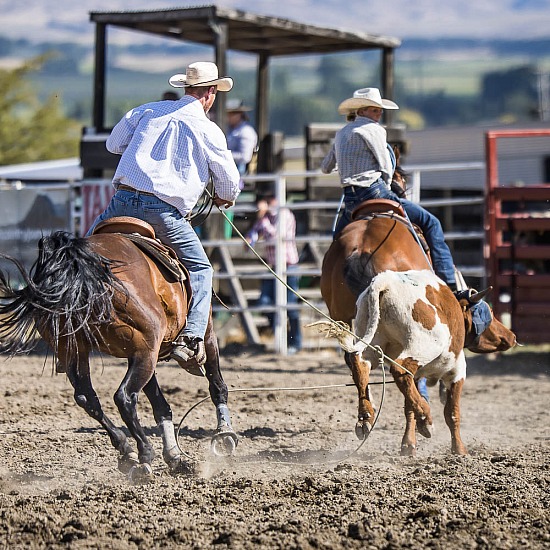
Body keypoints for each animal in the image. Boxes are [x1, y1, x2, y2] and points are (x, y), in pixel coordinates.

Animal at [0, 221, 237, 484]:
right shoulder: (205, 335)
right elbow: (217, 385)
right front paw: (224, 436)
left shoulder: (139, 352)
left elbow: (159, 404)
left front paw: (175, 456)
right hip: (147, 350)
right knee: (124, 397)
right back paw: (144, 455)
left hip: (76, 350)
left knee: (87, 398)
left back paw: (127, 451)